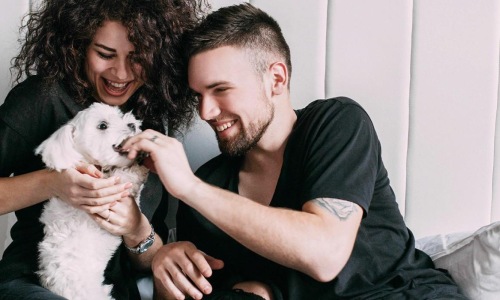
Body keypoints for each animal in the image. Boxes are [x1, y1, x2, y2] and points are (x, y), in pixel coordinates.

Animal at [34, 102, 148, 300]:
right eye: (102, 125)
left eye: (119, 115)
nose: (132, 124)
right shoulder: (112, 190)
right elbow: (127, 178)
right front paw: (138, 167)